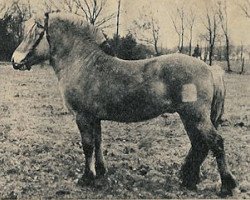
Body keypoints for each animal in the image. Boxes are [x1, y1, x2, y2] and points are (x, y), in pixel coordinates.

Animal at [10, 12, 237, 195]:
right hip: (189, 118)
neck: (83, 63)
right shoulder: (95, 117)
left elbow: (87, 145)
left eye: (36, 31)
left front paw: (86, 177)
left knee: (215, 143)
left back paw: (226, 186)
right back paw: (189, 180)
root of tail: (211, 69)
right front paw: (101, 171)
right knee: (199, 144)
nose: (14, 60)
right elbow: (98, 142)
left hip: (195, 117)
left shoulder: (83, 117)